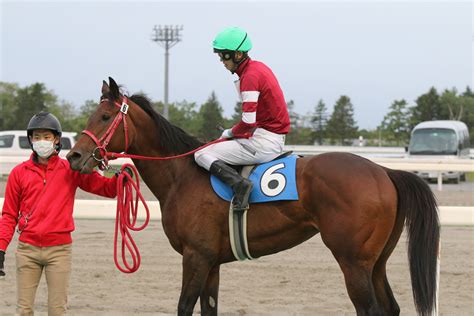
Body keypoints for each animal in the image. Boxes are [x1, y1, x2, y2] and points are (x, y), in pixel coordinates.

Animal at [67, 77, 440, 316]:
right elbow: (209, 309)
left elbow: (184, 307)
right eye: (90, 115)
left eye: (104, 116)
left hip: (353, 261)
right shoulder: (211, 262)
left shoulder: (195, 257)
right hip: (376, 261)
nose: (73, 156)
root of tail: (385, 172)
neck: (182, 176)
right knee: (390, 307)